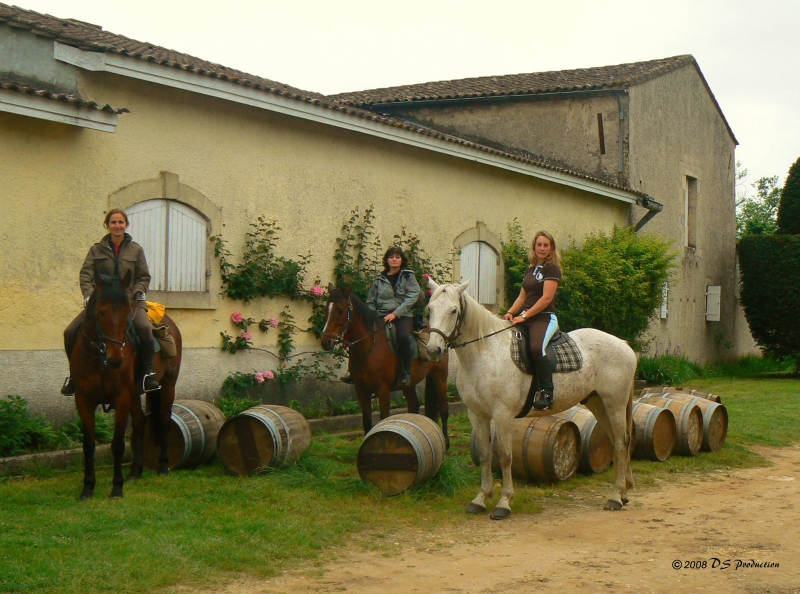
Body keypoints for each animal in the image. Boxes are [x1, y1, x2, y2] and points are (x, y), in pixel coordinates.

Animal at [70, 270, 181, 498]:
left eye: (127, 312)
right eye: (101, 312)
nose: (115, 359)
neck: (100, 361)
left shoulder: (121, 398)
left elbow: (118, 444)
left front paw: (116, 488)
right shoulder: (83, 399)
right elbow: (88, 444)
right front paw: (88, 488)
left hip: (167, 387)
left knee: (164, 421)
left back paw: (163, 467)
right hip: (135, 394)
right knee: (140, 423)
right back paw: (135, 472)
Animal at [322, 284, 454, 444]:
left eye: (341, 311)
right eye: (326, 309)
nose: (325, 342)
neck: (370, 346)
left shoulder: (383, 391)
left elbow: (383, 419)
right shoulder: (361, 391)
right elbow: (367, 422)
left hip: (439, 376)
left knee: (444, 409)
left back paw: (446, 443)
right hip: (409, 384)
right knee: (414, 405)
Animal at [424, 280, 636, 516]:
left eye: (454, 311)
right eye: (430, 309)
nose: (433, 350)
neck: (485, 353)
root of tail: (623, 344)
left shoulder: (503, 415)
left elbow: (505, 455)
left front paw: (504, 502)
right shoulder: (476, 414)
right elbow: (486, 454)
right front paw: (480, 498)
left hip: (615, 404)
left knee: (621, 443)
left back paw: (616, 497)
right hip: (598, 403)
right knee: (617, 442)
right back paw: (624, 492)